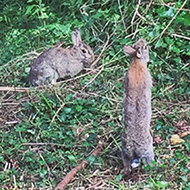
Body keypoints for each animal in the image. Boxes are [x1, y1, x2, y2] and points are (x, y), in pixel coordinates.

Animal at [121, 39, 155, 174]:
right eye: (145, 47)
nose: (144, 40)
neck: (137, 62)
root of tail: (134, 147)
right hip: (148, 150)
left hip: (124, 150)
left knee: (125, 163)